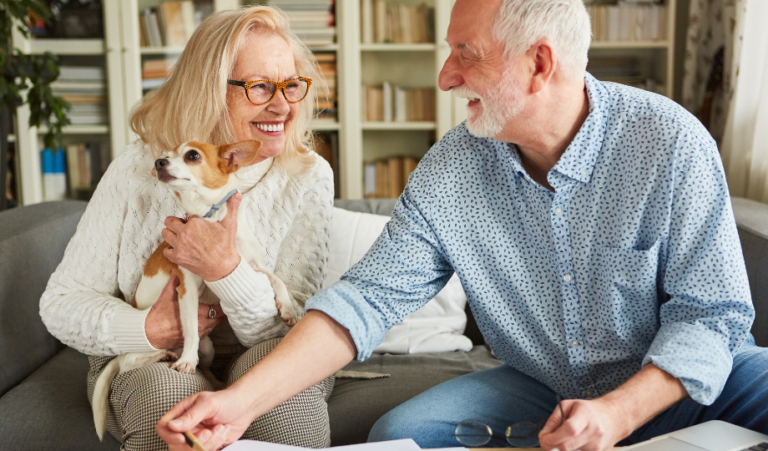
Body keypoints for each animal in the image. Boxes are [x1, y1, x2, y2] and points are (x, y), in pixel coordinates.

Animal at [91, 139, 302, 440]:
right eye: (164, 155)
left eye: (192, 155)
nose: (159, 162)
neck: (210, 217)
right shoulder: (187, 288)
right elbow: (190, 327)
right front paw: (187, 361)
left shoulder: (250, 266)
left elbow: (277, 280)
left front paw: (287, 308)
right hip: (141, 350)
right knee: (128, 363)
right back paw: (166, 355)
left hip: (210, 347)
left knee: (205, 364)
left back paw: (213, 379)